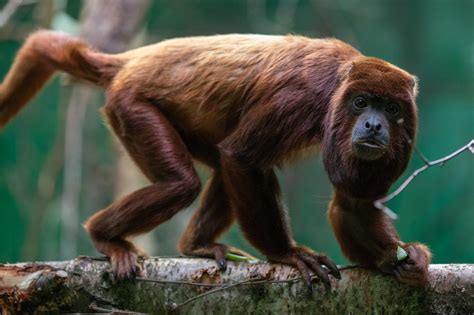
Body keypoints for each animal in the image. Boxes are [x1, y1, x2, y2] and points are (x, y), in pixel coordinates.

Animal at [0, 30, 430, 290]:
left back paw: (197, 245)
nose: (373, 125)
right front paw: (287, 254)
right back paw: (105, 236)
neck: (337, 87)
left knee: (224, 167)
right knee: (186, 181)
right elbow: (241, 156)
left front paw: (399, 258)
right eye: (361, 103)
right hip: (131, 106)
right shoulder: (300, 97)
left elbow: (354, 204)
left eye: (391, 109)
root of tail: (132, 60)